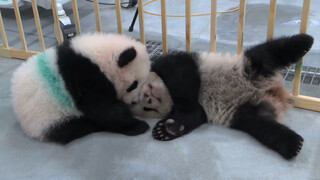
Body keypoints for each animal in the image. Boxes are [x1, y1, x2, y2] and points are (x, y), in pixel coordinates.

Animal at [11, 33, 152, 143]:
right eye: (133, 85)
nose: (134, 102)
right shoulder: (85, 77)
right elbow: (103, 109)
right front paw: (136, 126)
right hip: (47, 116)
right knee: (73, 128)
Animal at [131, 33, 314, 159]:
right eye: (147, 108)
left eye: (139, 88)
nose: (148, 97)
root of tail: (275, 95)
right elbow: (195, 116)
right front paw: (168, 129)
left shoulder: (176, 66)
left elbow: (181, 73)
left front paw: (168, 126)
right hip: (245, 112)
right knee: (261, 125)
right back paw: (293, 144)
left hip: (248, 68)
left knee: (269, 53)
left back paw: (305, 41)